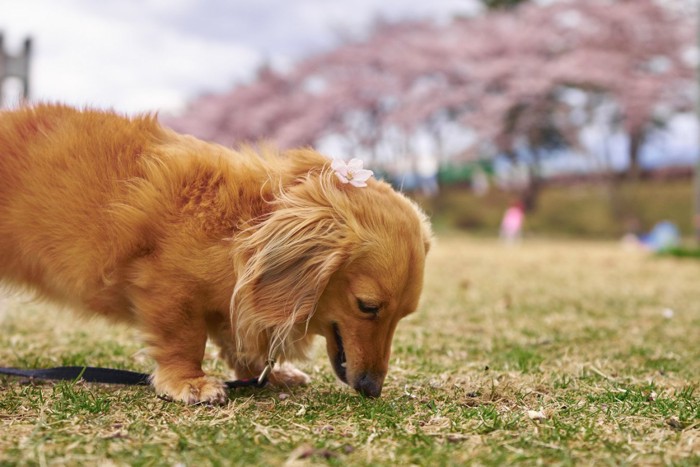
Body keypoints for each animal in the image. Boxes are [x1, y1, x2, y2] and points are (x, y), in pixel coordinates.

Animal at [0, 104, 432, 404]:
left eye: (403, 315)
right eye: (367, 307)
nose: (372, 389)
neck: (242, 226)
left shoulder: (235, 299)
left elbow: (235, 338)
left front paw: (266, 373)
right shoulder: (166, 289)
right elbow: (185, 338)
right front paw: (188, 381)